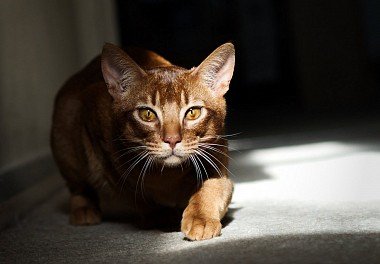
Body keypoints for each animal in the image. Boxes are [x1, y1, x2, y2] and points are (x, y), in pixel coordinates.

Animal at [50, 41, 235, 241]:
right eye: (147, 114)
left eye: (193, 112)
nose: (172, 140)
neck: (169, 174)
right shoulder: (98, 136)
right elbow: (134, 192)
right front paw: (160, 215)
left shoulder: (217, 153)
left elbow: (213, 186)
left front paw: (201, 218)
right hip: (65, 129)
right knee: (77, 186)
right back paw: (84, 209)